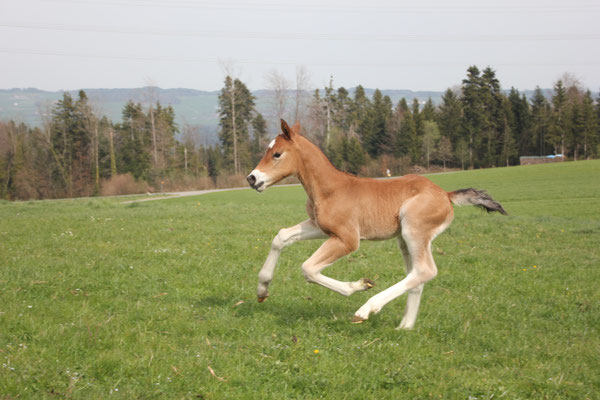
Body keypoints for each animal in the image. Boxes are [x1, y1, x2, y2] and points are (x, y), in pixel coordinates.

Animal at [247, 120, 506, 330]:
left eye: (277, 154)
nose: (252, 178)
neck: (330, 189)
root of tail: (446, 194)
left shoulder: (348, 239)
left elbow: (308, 268)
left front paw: (359, 285)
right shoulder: (320, 227)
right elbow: (281, 236)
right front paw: (262, 290)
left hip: (414, 231)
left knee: (425, 270)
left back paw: (366, 310)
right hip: (405, 240)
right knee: (416, 275)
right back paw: (404, 327)